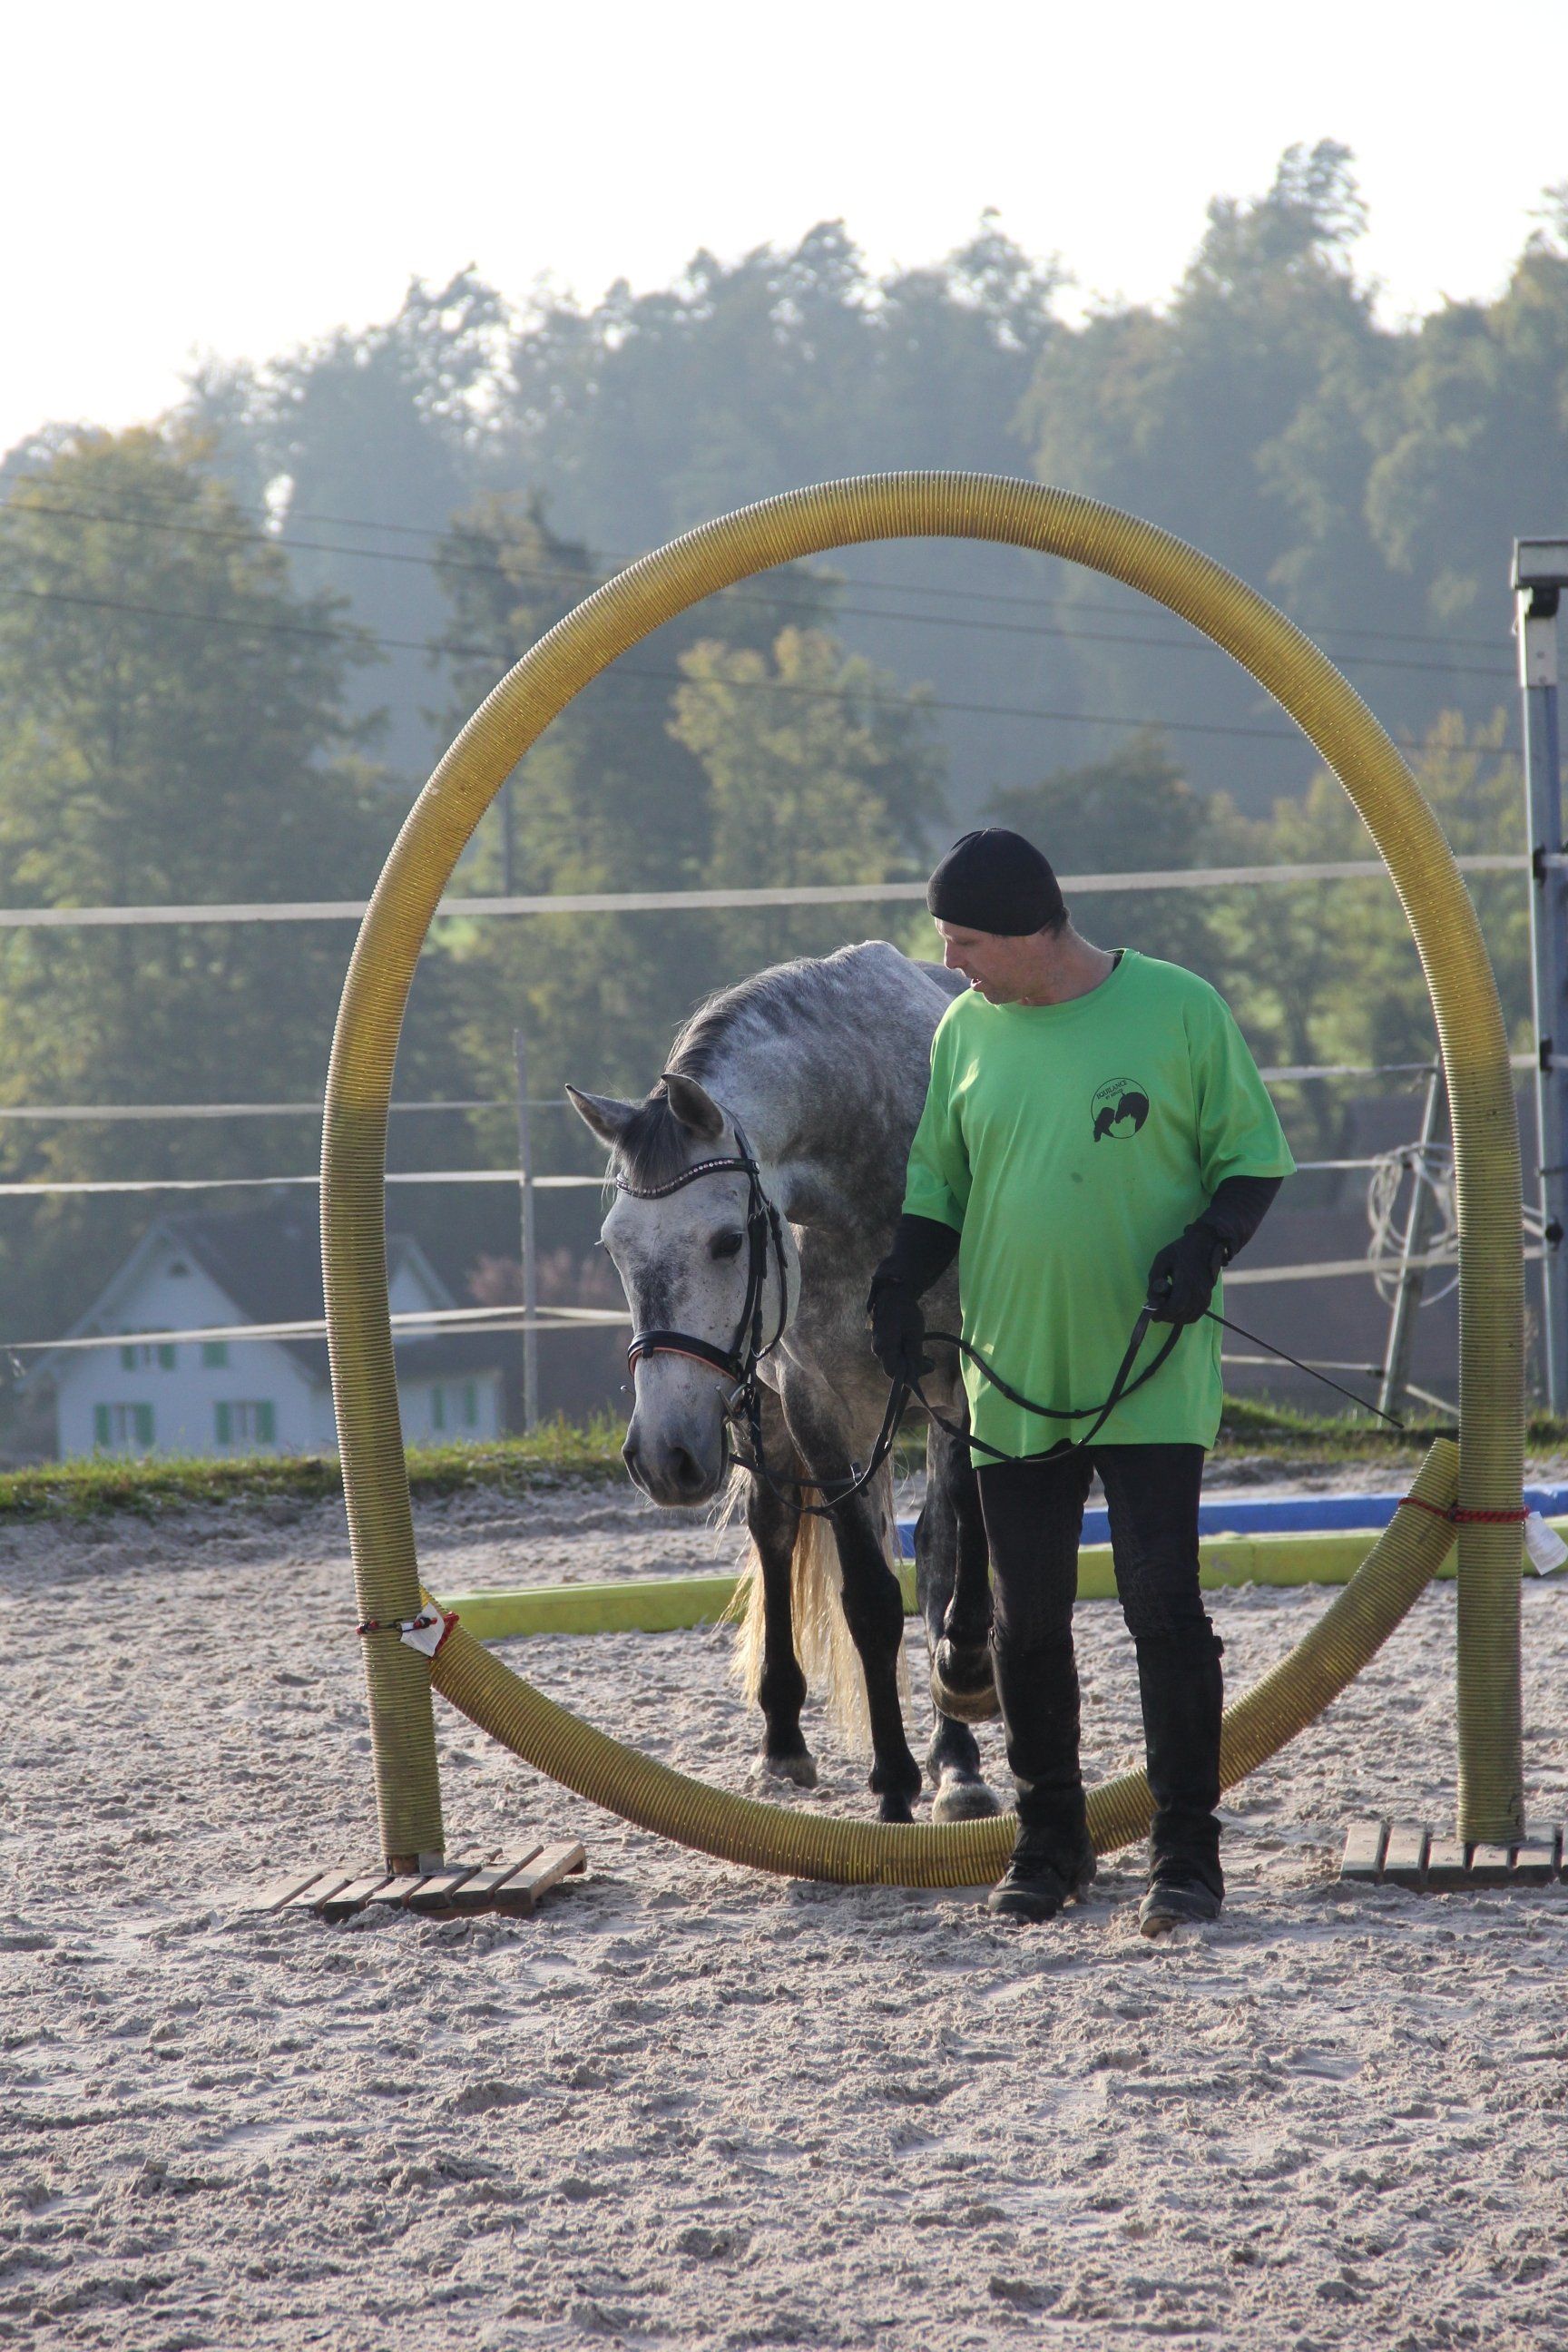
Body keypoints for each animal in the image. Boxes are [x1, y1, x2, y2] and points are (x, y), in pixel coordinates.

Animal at [567, 939, 1002, 1825]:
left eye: (728, 1240)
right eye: (615, 1247)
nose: (661, 1458)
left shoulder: (954, 1385)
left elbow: (952, 1560)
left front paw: (963, 1697)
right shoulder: (811, 1404)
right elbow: (868, 1598)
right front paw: (894, 1781)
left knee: (938, 1545)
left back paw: (956, 1755)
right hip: (754, 1408)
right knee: (774, 1531)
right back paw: (785, 1740)